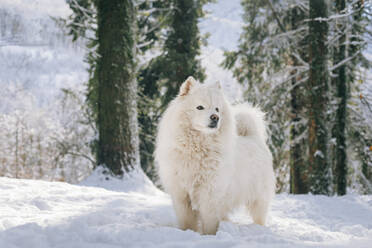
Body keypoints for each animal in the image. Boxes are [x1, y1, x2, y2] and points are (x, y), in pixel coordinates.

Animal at [155, 76, 276, 235]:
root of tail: (253, 136)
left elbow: (209, 221)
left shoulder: (210, 193)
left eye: (217, 109)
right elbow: (187, 221)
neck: (198, 147)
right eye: (200, 107)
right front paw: (188, 232)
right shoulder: (181, 193)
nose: (215, 117)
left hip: (258, 197)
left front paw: (209, 236)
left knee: (260, 216)